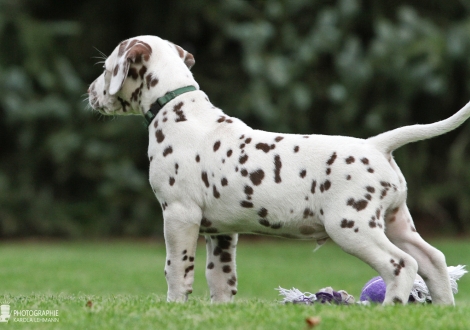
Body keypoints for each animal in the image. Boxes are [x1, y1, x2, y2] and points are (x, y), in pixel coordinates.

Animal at [88, 35, 470, 304]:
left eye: (106, 69)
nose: (90, 92)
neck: (178, 109)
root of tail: (377, 145)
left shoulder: (179, 216)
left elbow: (177, 269)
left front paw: (174, 307)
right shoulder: (221, 232)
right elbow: (221, 279)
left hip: (353, 226)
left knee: (402, 266)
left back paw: (389, 308)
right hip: (396, 223)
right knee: (433, 261)